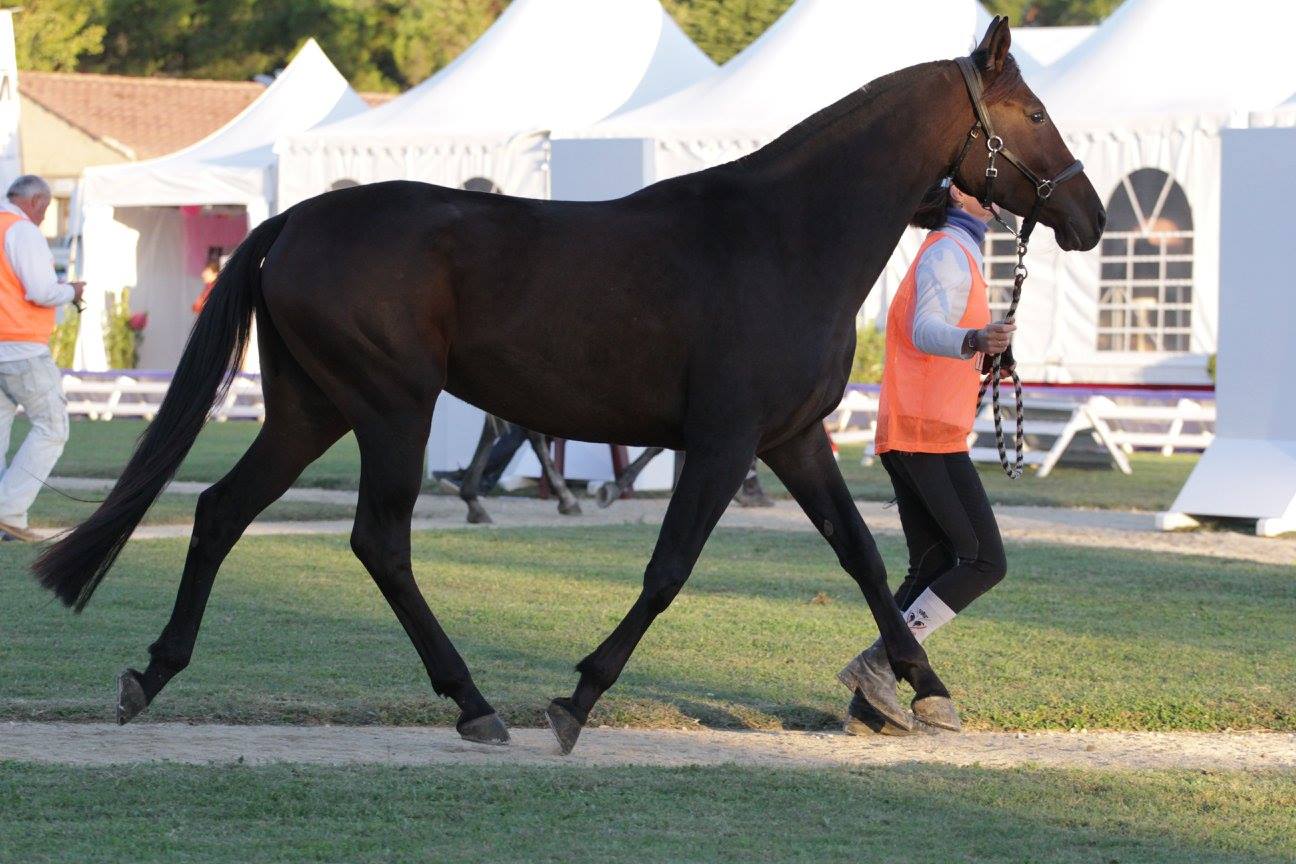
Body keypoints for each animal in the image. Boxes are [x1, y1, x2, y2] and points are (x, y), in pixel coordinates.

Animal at [32, 16, 1104, 751]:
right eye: (1036, 113)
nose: (1091, 215)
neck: (785, 235)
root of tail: (292, 219)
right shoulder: (722, 443)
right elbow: (668, 570)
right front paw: (578, 697)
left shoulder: (790, 441)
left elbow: (866, 561)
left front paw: (922, 690)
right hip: (389, 407)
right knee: (379, 540)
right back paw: (471, 702)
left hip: (312, 408)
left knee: (220, 510)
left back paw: (153, 673)